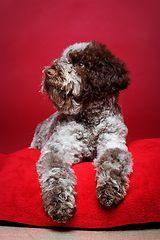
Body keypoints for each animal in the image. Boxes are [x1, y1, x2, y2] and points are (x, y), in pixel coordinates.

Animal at [30, 41, 132, 223]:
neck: (90, 119)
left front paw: (109, 188)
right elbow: (56, 173)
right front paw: (59, 202)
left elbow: (113, 161)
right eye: (63, 58)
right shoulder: (57, 150)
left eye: (81, 64)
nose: (48, 72)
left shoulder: (113, 142)